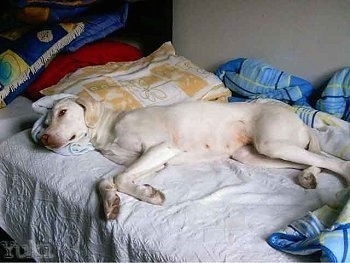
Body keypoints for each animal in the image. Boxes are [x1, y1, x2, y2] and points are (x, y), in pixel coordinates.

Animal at [39, 97, 348, 221]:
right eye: (46, 120)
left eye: (63, 112)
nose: (43, 138)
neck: (109, 127)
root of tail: (300, 121)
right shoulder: (153, 162)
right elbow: (107, 179)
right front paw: (112, 203)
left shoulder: (161, 149)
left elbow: (118, 177)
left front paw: (148, 196)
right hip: (257, 154)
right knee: (316, 160)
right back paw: (308, 176)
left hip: (272, 144)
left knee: (336, 163)